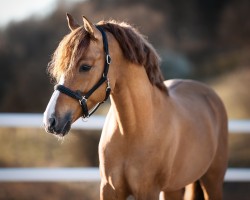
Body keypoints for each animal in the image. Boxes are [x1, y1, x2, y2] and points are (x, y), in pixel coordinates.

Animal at [43, 14, 229, 200]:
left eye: (85, 67)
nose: (50, 121)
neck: (132, 131)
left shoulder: (148, 191)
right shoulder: (109, 189)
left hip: (212, 181)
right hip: (173, 188)